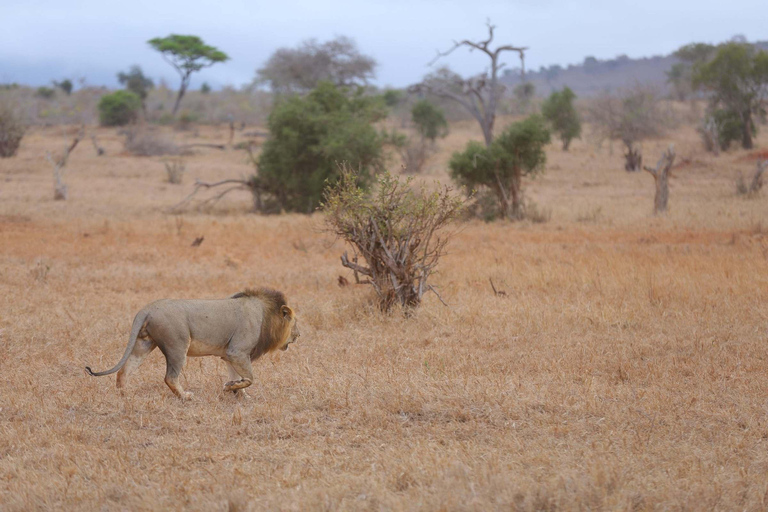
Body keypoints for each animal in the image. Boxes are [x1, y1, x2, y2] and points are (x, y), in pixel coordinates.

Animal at [85, 288, 298, 400]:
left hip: (143, 344)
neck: (265, 315)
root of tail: (147, 309)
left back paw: (125, 394)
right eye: (295, 323)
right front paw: (230, 388)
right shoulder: (237, 351)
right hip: (177, 345)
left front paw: (240, 394)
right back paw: (185, 396)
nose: (299, 335)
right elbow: (251, 378)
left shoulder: (231, 355)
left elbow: (239, 376)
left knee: (124, 370)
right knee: (170, 377)